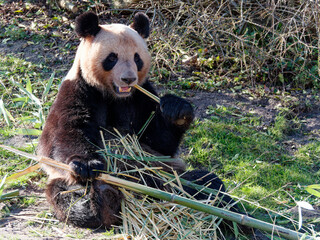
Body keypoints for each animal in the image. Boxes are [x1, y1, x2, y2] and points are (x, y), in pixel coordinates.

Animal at [38, 12, 238, 230]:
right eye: (112, 57)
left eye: (137, 58)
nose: (128, 79)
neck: (115, 97)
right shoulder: (78, 91)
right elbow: (63, 135)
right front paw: (87, 164)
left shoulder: (142, 97)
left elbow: (160, 143)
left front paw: (177, 110)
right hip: (66, 183)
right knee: (66, 195)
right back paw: (96, 200)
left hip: (169, 175)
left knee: (206, 183)